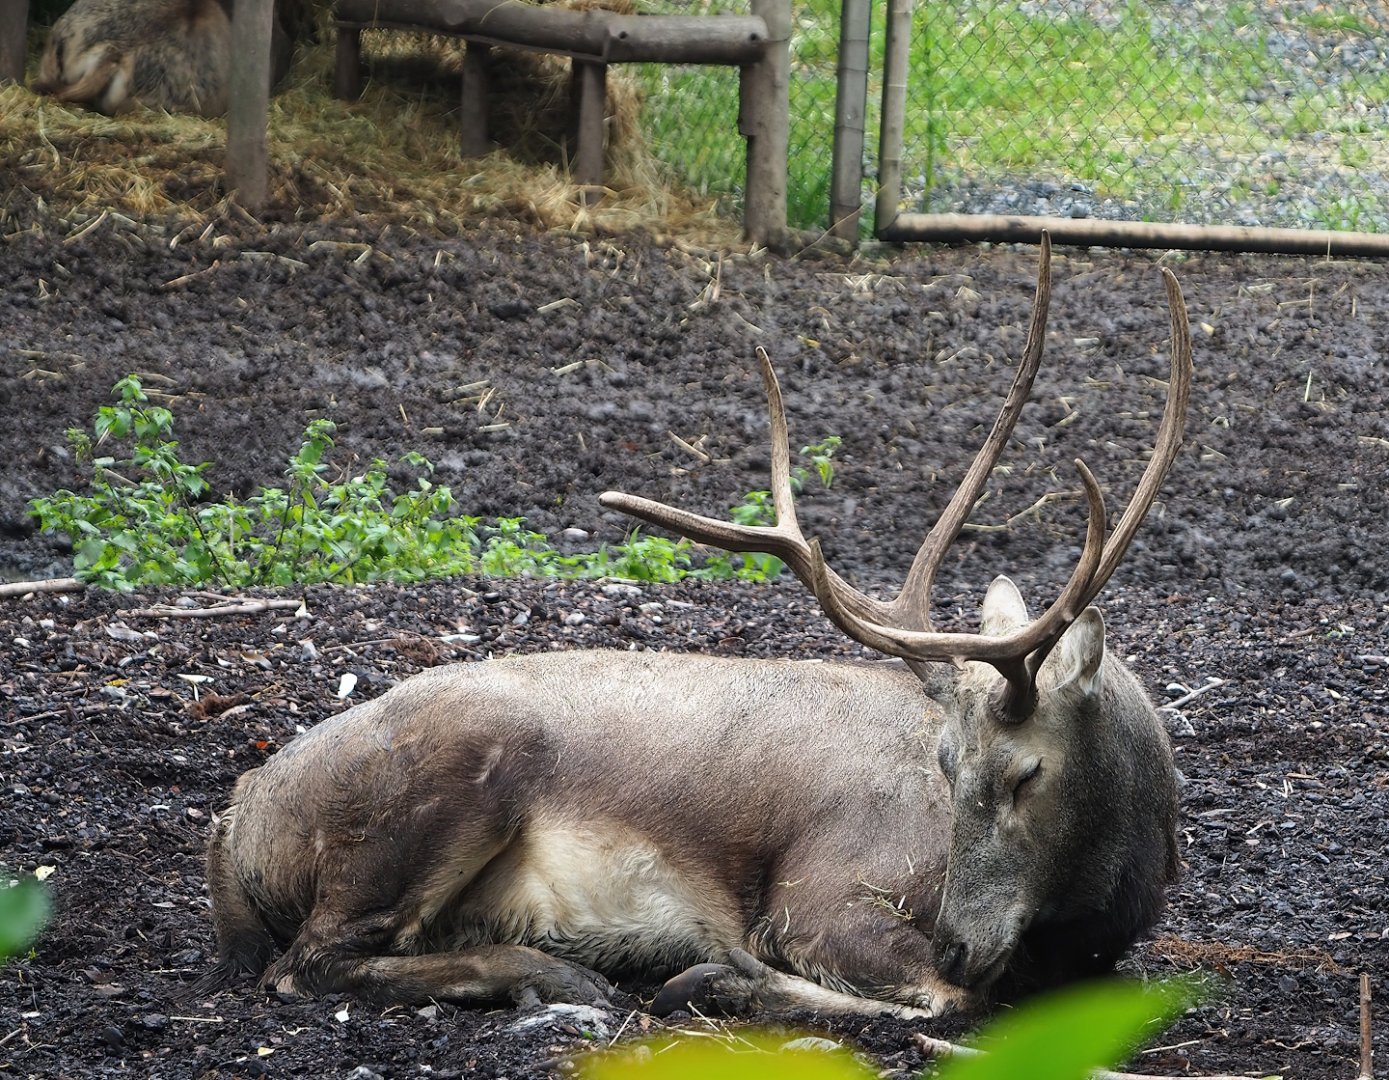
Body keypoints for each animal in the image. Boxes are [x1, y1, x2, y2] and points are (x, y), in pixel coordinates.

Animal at [200, 237, 1194, 1019]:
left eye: (1026, 772)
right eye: (945, 766)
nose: (958, 939)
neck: (1111, 897)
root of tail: (241, 821)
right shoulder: (822, 894)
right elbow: (942, 996)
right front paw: (716, 976)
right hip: (440, 787)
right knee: (307, 963)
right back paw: (556, 975)